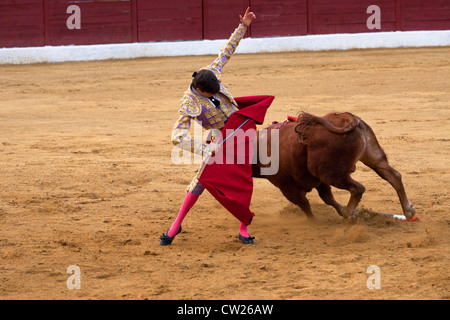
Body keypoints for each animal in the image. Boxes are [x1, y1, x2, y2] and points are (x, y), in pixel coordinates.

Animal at [253, 112, 414, 222]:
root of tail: (345, 117)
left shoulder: (288, 188)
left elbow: (306, 205)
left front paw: (314, 222)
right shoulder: (318, 181)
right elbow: (327, 198)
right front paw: (343, 211)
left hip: (330, 174)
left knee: (358, 188)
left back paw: (351, 214)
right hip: (373, 157)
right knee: (393, 176)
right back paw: (408, 210)